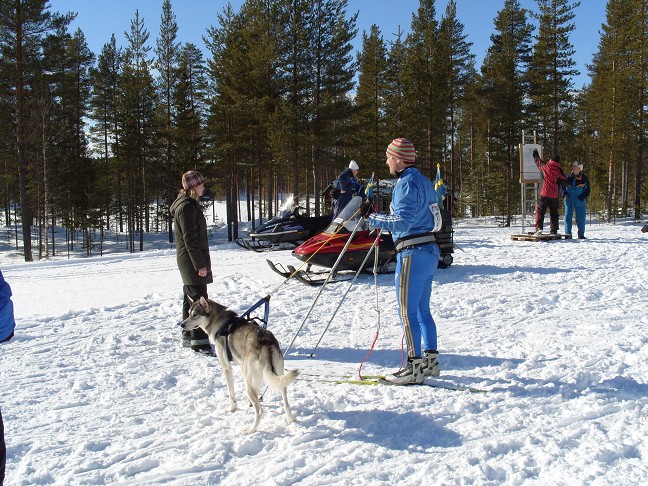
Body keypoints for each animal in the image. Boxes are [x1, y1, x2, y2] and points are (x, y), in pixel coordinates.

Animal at [181, 298, 300, 434]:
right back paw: (290, 420)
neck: (219, 323)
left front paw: (232, 408)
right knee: (286, 404)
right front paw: (249, 404)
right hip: (279, 378)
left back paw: (251, 430)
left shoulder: (227, 368)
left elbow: (231, 393)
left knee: (260, 412)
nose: (181, 325)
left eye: (195, 315)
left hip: (247, 381)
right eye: (189, 314)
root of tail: (266, 344)